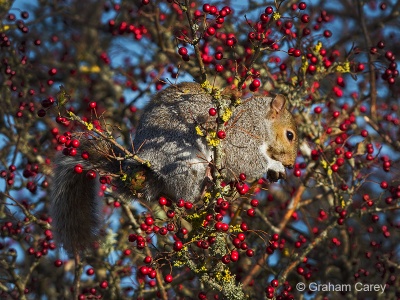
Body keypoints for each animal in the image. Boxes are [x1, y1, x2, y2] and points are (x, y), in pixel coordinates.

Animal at [49, 82, 296, 255]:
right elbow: (243, 160)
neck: (260, 120)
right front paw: (273, 165)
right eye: (290, 135)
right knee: (185, 193)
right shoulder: (241, 134)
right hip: (184, 161)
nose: (292, 163)